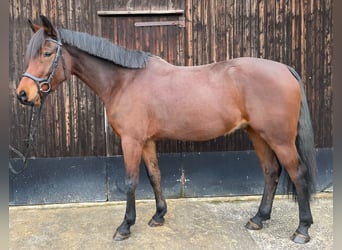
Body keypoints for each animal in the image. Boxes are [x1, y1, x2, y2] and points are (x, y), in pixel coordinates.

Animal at [15, 14, 316, 243]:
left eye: (47, 53)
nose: (23, 94)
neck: (124, 81)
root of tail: (285, 69)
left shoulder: (131, 141)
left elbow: (131, 181)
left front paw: (125, 226)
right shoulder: (146, 141)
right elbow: (154, 176)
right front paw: (158, 215)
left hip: (280, 139)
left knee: (298, 174)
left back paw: (302, 229)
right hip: (258, 135)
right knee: (271, 172)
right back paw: (258, 218)